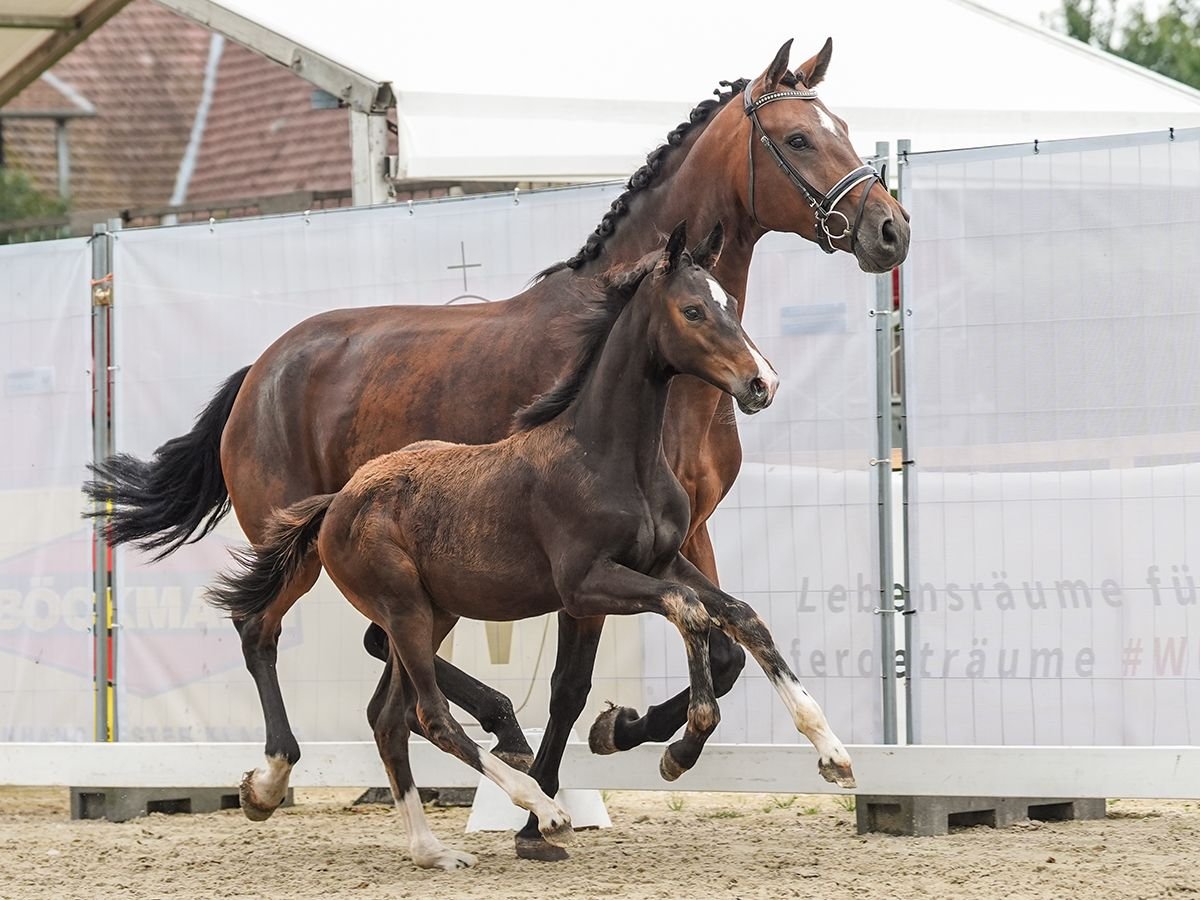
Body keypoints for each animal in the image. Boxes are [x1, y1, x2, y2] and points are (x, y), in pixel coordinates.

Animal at [208, 222, 854, 868]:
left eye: (731, 305)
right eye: (692, 310)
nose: (762, 382)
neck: (610, 455)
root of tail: (337, 501)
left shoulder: (664, 560)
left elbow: (741, 617)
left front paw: (832, 752)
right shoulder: (586, 584)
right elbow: (685, 613)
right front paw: (677, 748)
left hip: (434, 613)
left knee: (388, 719)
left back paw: (431, 849)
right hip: (405, 609)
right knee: (425, 713)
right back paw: (540, 808)